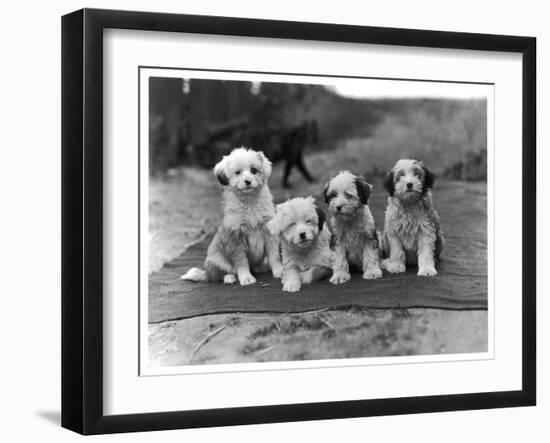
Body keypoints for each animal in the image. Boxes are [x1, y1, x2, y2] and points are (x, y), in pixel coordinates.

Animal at [182, 147, 284, 286]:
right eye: (238, 172)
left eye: (253, 170)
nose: (248, 181)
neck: (249, 202)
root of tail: (206, 273)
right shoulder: (235, 237)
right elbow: (241, 261)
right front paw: (246, 278)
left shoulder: (269, 231)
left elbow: (274, 255)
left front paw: (279, 271)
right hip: (216, 259)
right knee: (219, 275)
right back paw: (229, 278)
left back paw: (261, 268)